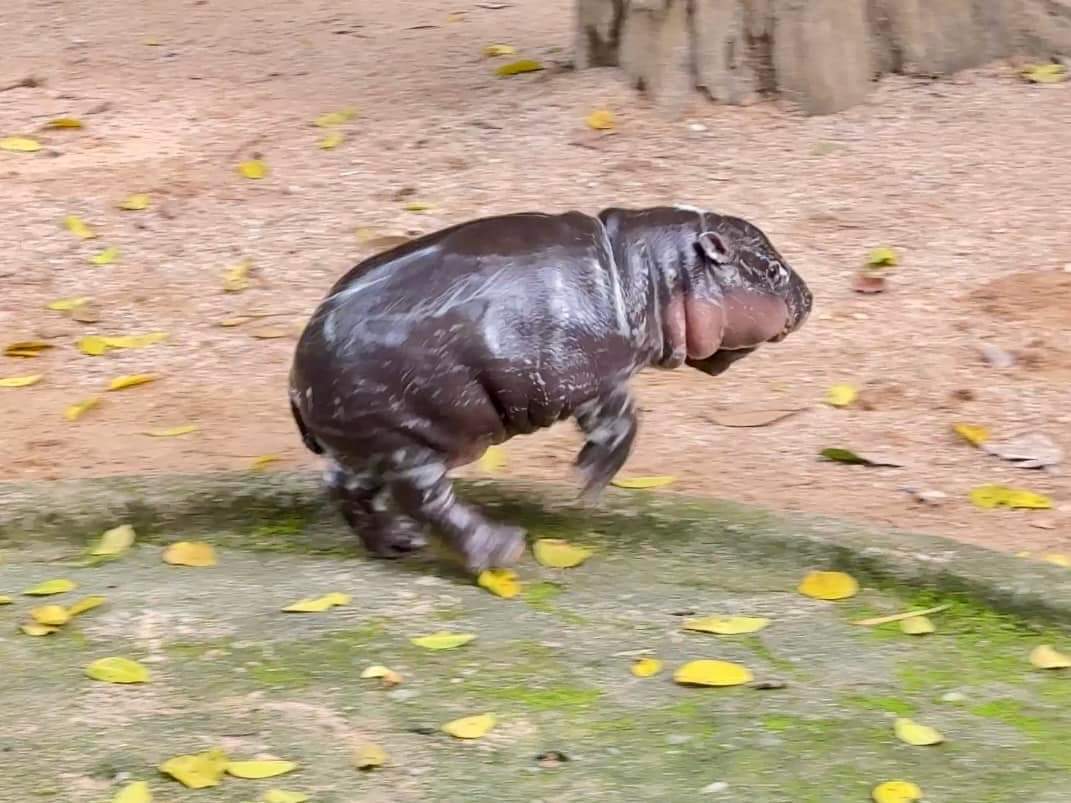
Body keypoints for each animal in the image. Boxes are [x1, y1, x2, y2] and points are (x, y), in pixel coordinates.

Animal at [289, 205, 812, 572]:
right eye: (774, 271)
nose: (809, 297)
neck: (654, 271)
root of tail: (297, 376)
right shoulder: (597, 379)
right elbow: (621, 426)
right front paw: (586, 485)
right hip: (406, 445)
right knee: (425, 499)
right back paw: (500, 550)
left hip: (365, 446)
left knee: (346, 490)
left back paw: (397, 543)